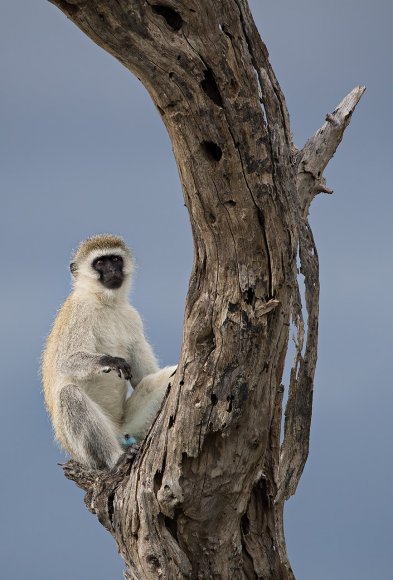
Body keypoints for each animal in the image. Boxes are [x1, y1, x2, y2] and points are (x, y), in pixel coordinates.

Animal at [41, 233, 175, 468]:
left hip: (128, 424)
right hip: (81, 450)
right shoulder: (80, 312)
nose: (113, 271)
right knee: (70, 395)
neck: (105, 302)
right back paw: (116, 459)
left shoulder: (133, 317)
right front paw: (109, 361)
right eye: (100, 263)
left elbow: (143, 378)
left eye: (115, 260)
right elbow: (65, 361)